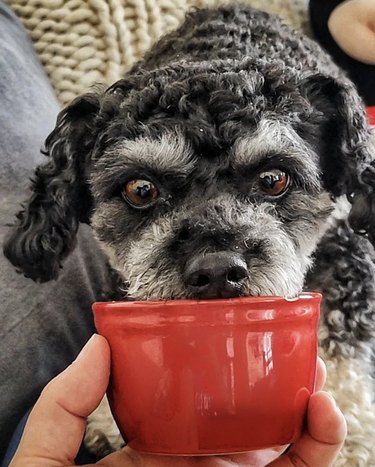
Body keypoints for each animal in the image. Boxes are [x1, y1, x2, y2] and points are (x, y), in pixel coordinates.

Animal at [3, 5, 375, 466]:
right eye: (140, 189)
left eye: (274, 179)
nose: (217, 271)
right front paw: (107, 415)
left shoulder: (348, 250)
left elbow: (343, 344)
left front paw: (350, 441)